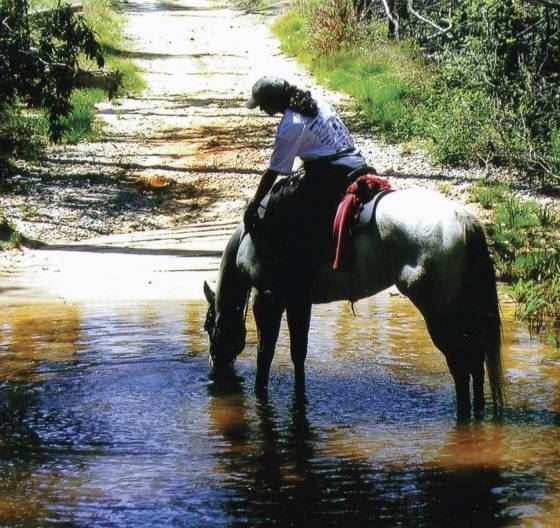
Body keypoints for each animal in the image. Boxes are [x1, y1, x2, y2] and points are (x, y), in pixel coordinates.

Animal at [203, 188, 506, 422]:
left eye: (207, 327)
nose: (215, 368)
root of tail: (462, 218)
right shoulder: (299, 301)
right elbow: (298, 354)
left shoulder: (267, 297)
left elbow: (265, 355)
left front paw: (260, 394)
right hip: (463, 311)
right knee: (476, 363)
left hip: (440, 314)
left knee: (461, 364)